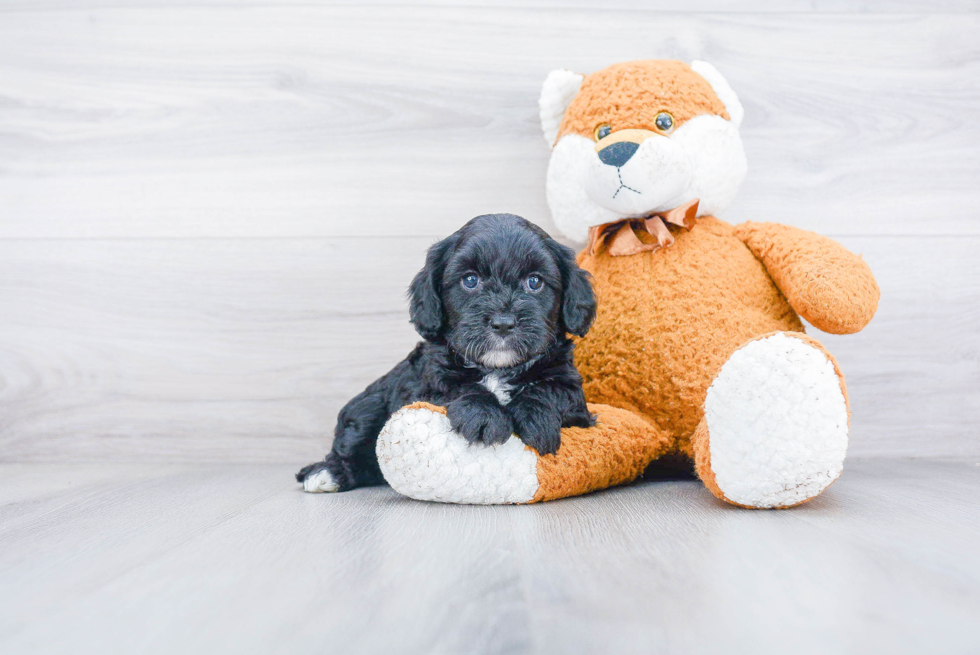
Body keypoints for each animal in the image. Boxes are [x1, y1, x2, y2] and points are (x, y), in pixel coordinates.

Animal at [294, 214, 596, 492]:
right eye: (470, 280)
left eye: (534, 282)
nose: (503, 322)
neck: (497, 369)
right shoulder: (430, 380)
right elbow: (458, 387)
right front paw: (484, 416)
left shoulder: (573, 391)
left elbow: (552, 389)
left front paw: (536, 418)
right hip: (367, 408)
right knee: (351, 443)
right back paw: (327, 473)